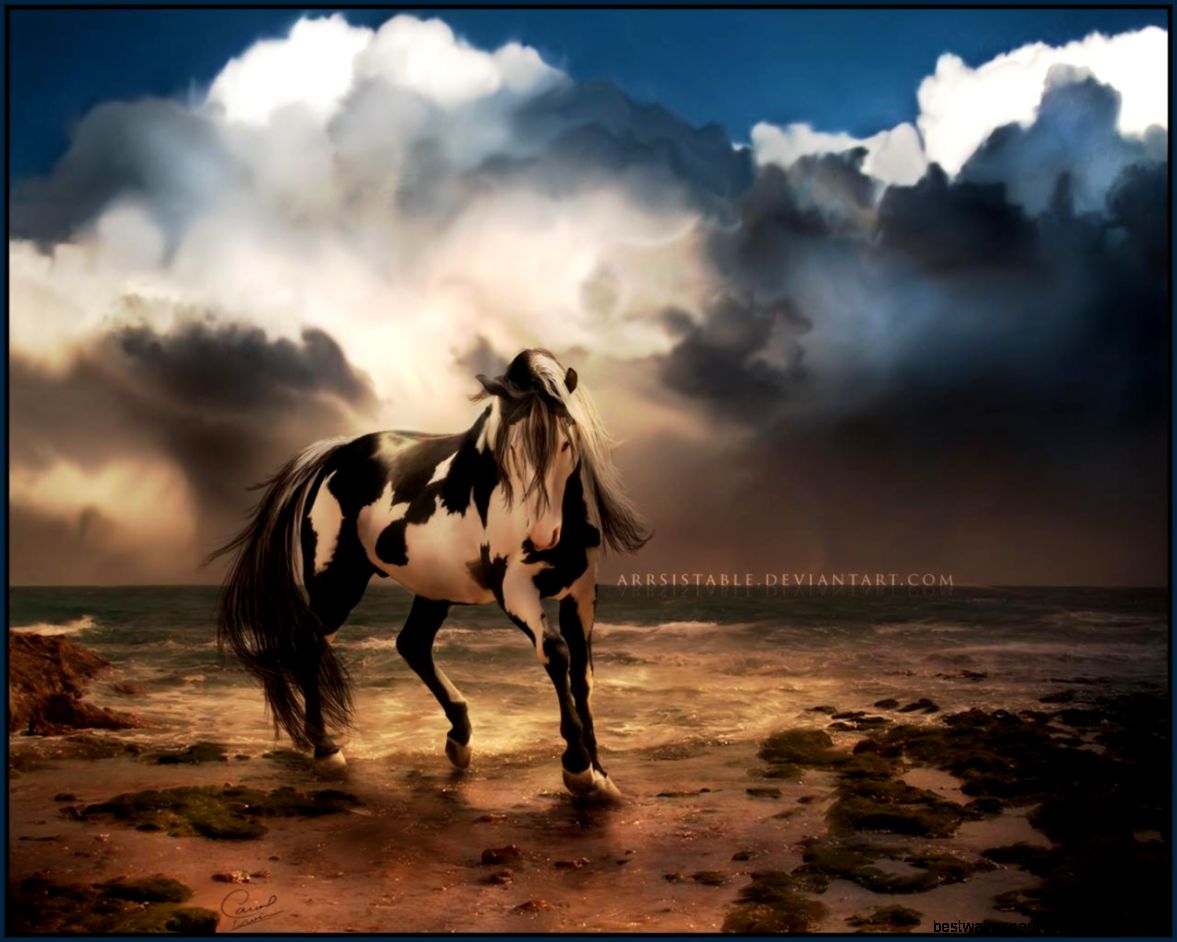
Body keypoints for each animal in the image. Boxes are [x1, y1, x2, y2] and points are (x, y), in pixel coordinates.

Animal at [211, 348, 650, 801]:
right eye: (507, 453)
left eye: (566, 441)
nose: (542, 537)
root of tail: (337, 454)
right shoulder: (515, 591)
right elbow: (557, 653)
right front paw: (577, 767)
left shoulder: (581, 592)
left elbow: (582, 676)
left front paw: (600, 773)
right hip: (337, 582)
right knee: (310, 642)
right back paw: (326, 749)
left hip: (432, 588)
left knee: (412, 644)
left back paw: (459, 738)